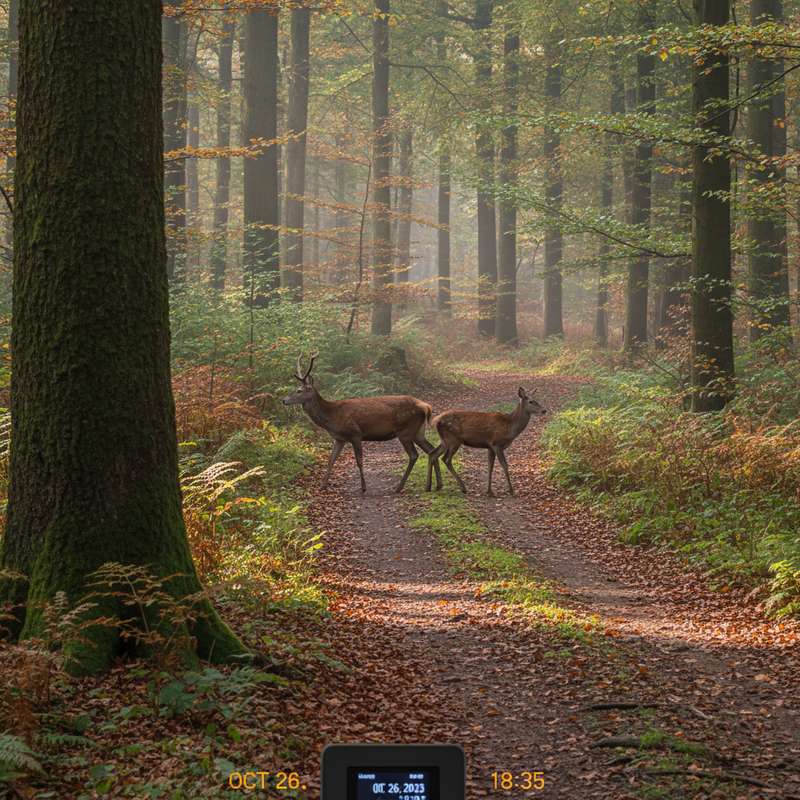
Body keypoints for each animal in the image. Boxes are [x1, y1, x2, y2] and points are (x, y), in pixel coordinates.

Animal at [282, 352, 443, 494]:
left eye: (299, 390)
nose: (284, 400)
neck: (332, 417)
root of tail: (425, 406)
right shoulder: (339, 439)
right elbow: (331, 460)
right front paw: (322, 486)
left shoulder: (355, 434)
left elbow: (359, 461)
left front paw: (363, 488)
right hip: (418, 432)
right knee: (431, 450)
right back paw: (437, 485)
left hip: (406, 431)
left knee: (414, 455)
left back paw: (399, 487)